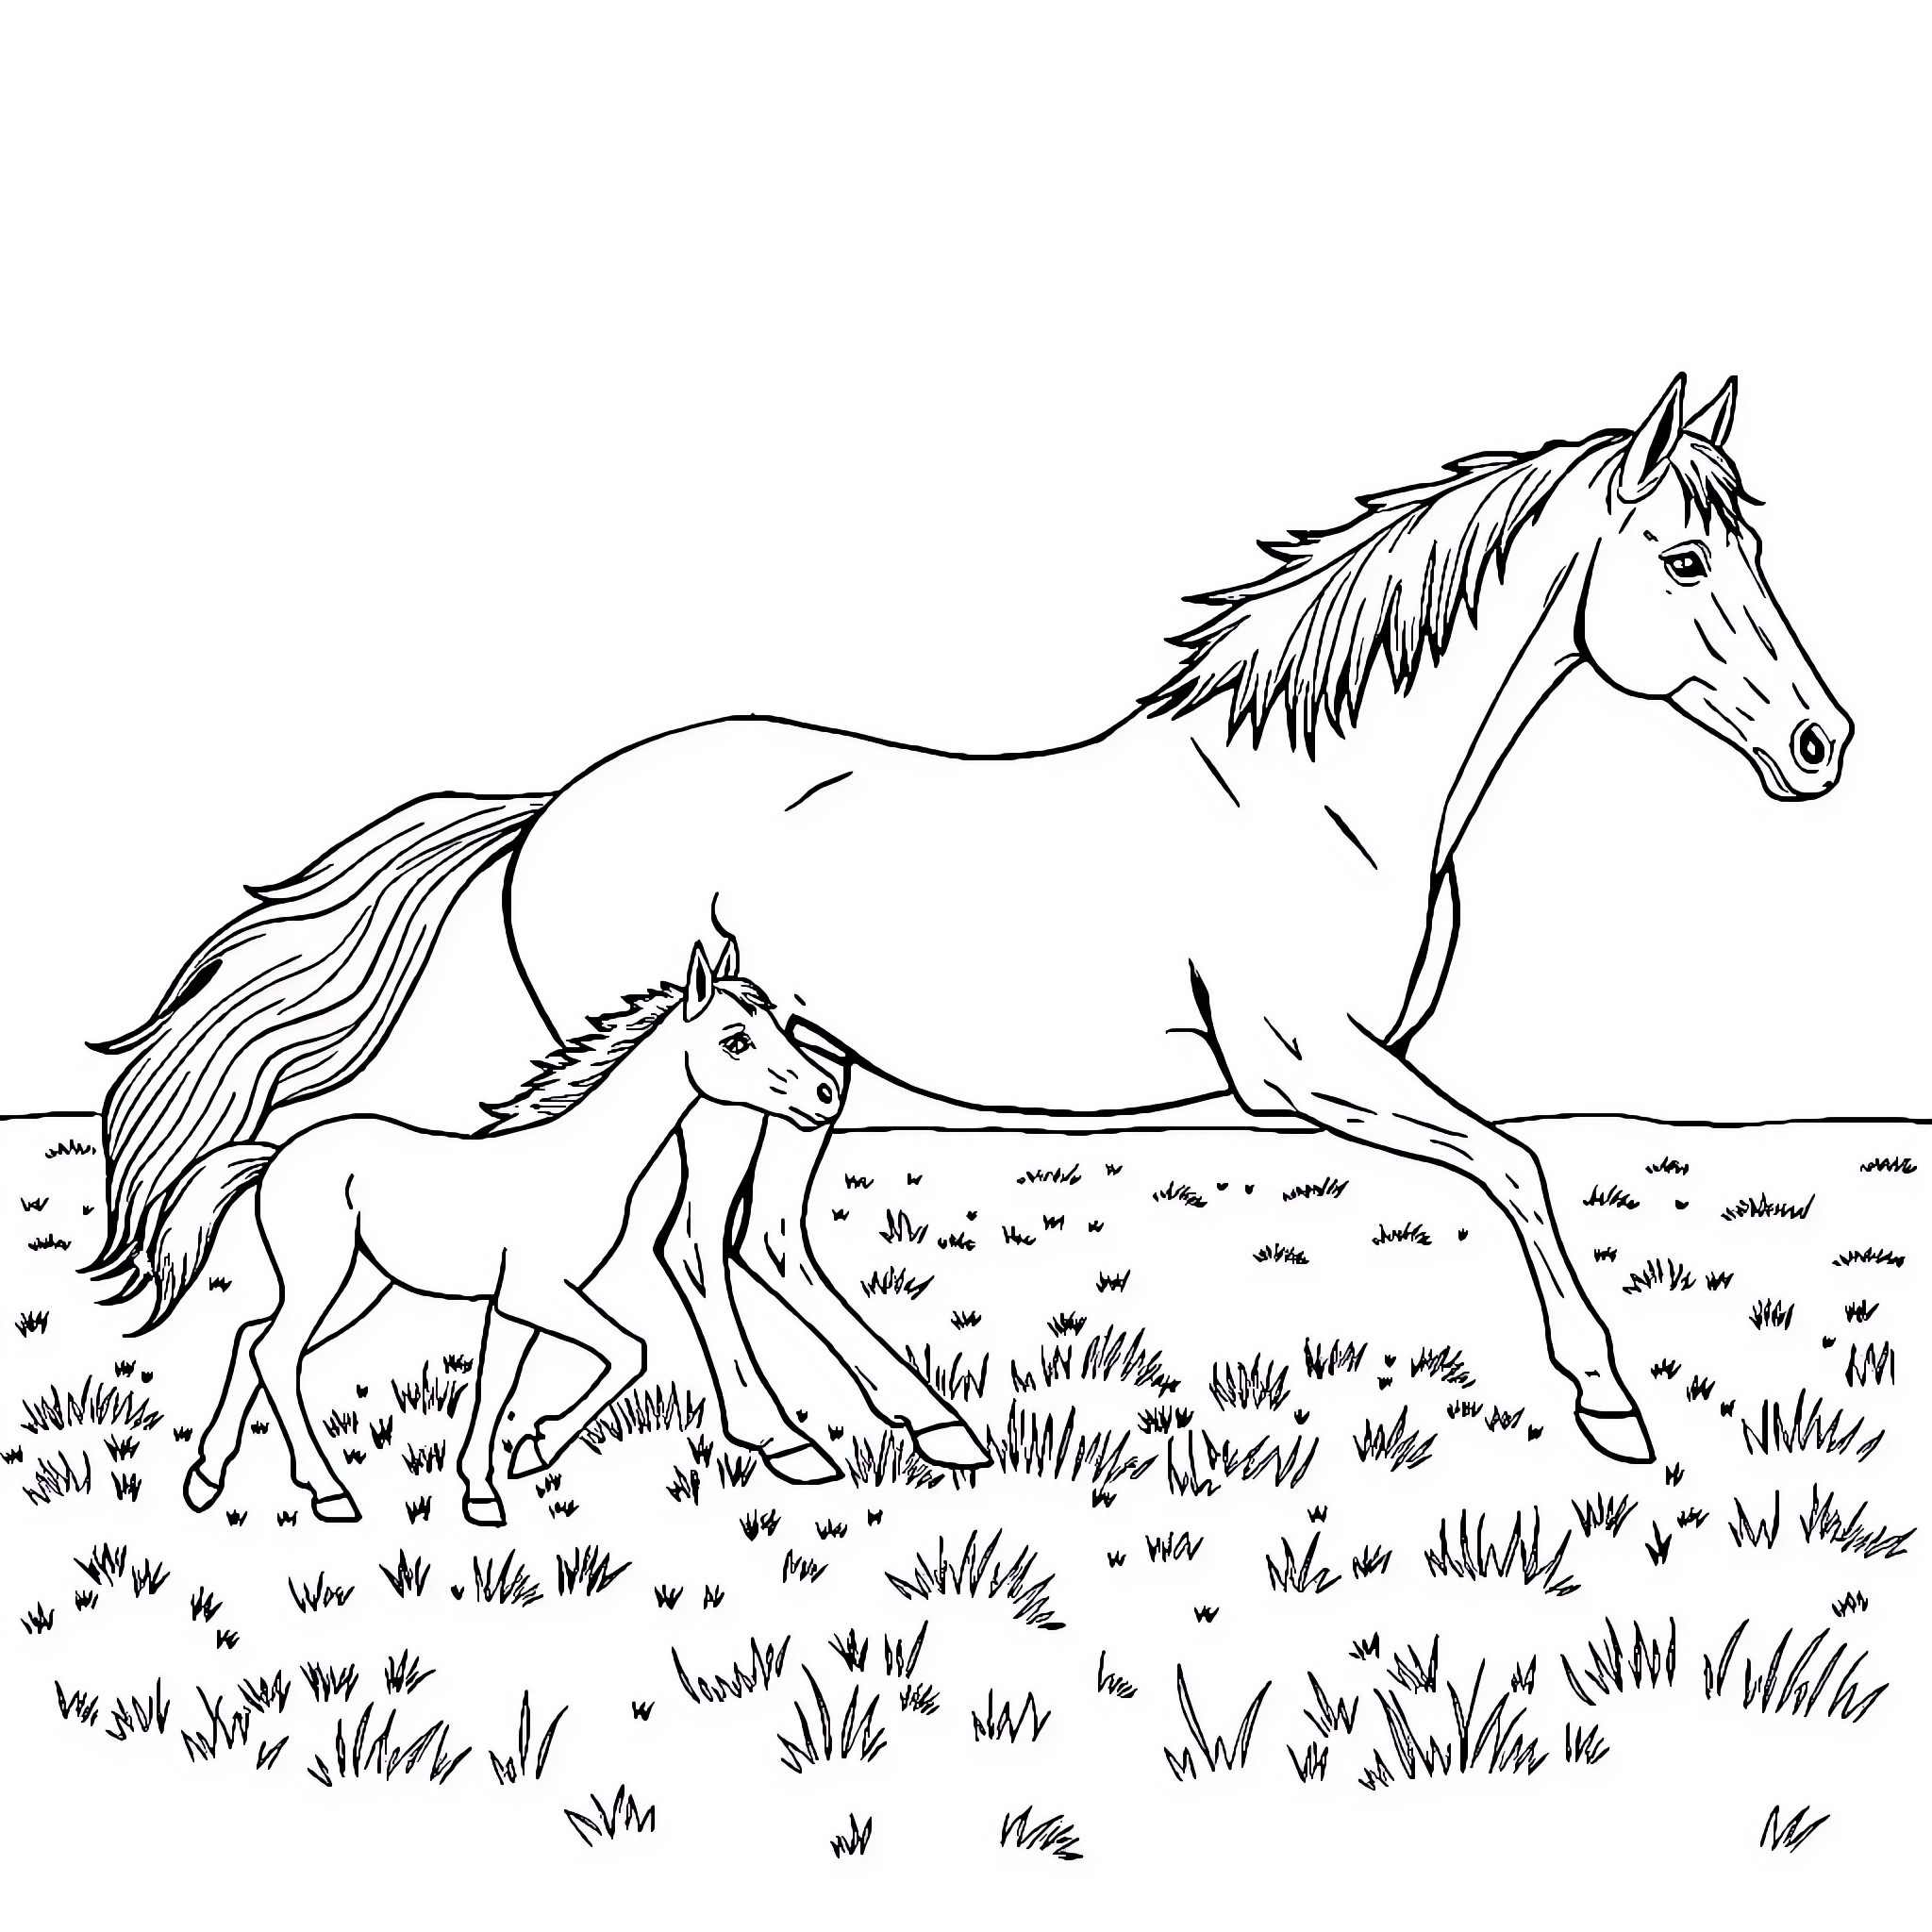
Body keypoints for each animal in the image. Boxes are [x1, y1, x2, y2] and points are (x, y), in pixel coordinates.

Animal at [151, 943, 844, 1523]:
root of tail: (278, 1153)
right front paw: (537, 1447)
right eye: (736, 1041)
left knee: (255, 1341)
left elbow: (496, 1385)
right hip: (323, 1277)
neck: (582, 1160)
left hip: (358, 1286)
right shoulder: (537, 1294)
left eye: (780, 1026)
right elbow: (631, 1351)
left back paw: (207, 1478)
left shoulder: (514, 1306)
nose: (826, 1094)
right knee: (274, 1352)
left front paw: (485, 1490)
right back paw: (329, 1493)